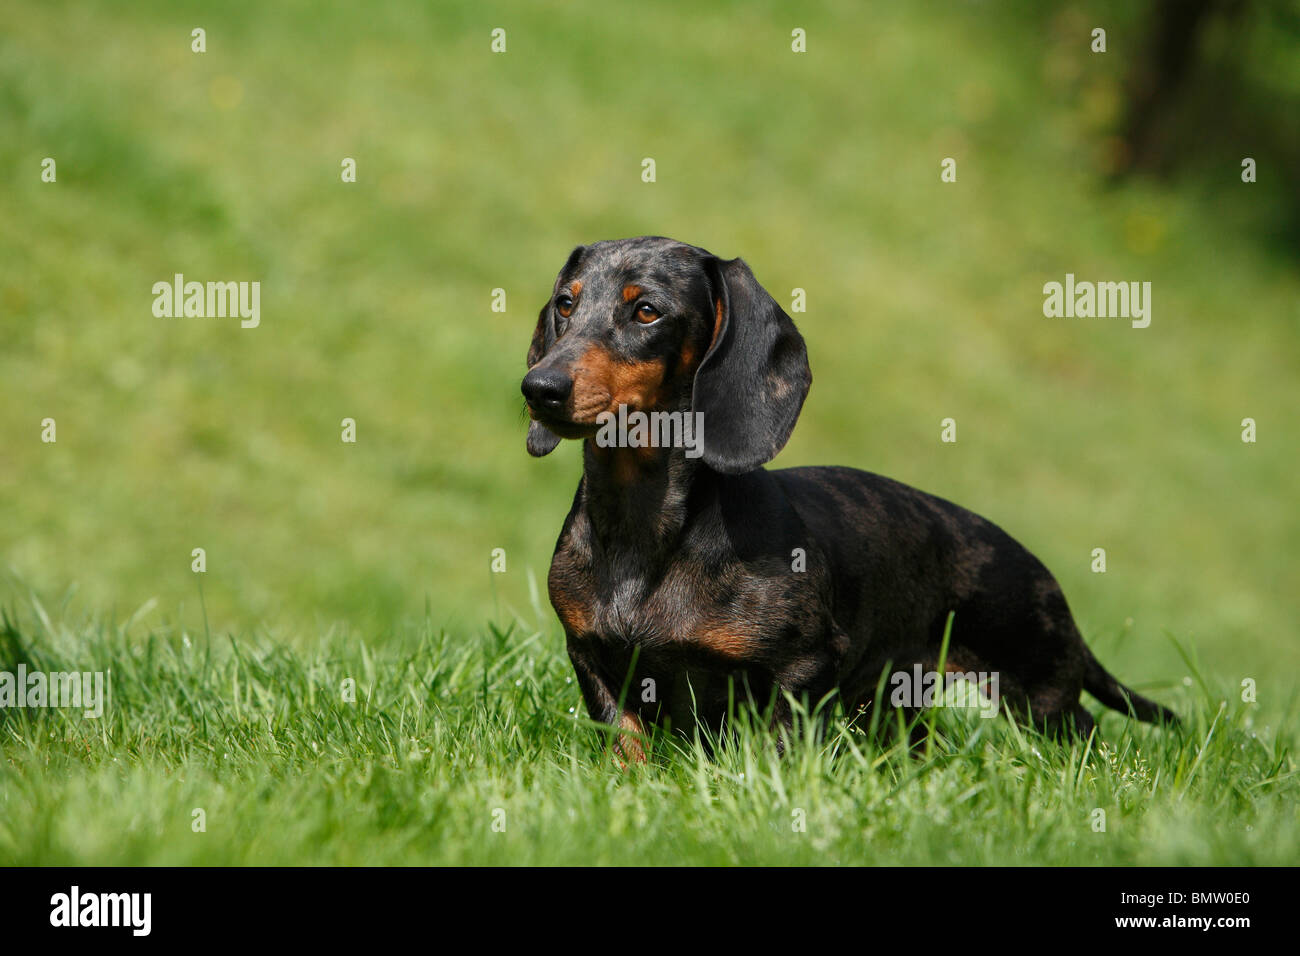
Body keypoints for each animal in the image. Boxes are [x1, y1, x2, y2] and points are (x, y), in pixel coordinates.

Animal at [520, 235, 1180, 759]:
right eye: (566, 303)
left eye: (647, 310)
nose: (538, 388)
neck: (646, 527)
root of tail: (1043, 573)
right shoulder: (594, 660)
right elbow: (625, 743)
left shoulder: (805, 667)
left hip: (1038, 689)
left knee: (1082, 728)